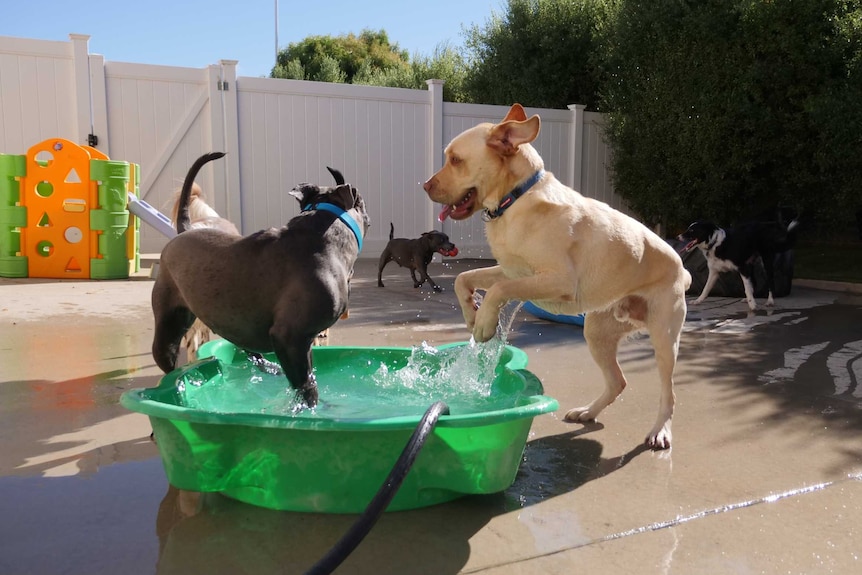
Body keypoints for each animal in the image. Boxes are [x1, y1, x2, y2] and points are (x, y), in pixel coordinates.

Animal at [152, 152, 368, 404]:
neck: (322, 237)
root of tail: (185, 230)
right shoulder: (291, 338)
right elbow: (306, 385)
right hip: (168, 331)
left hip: (232, 323)